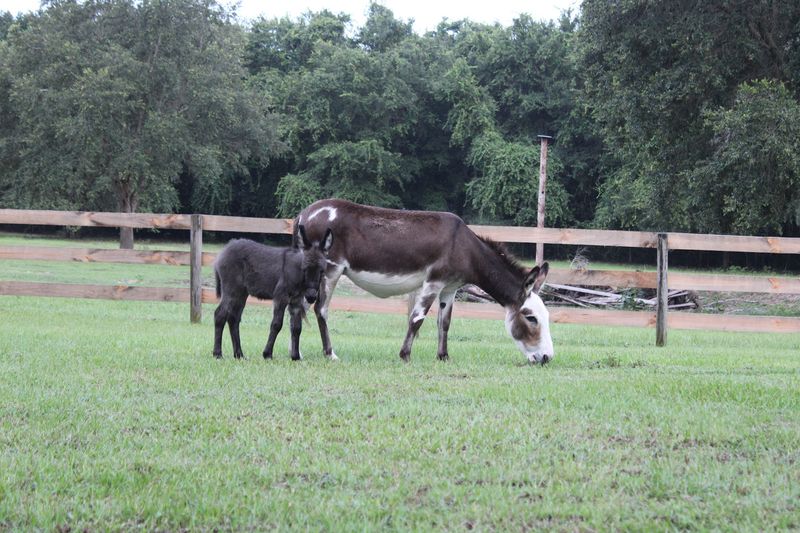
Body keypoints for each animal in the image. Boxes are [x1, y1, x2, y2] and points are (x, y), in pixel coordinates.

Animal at [212, 226, 333, 360]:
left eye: (322, 271)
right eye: (305, 269)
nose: (312, 296)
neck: (297, 273)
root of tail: (225, 249)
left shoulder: (296, 300)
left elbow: (296, 327)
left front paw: (295, 357)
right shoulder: (281, 297)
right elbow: (276, 324)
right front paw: (267, 354)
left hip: (241, 293)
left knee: (233, 318)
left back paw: (239, 355)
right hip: (231, 290)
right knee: (220, 314)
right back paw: (217, 354)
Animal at [294, 199, 553, 364]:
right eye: (531, 318)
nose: (547, 358)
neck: (465, 247)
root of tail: (305, 212)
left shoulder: (449, 288)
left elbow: (444, 323)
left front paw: (443, 357)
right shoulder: (433, 282)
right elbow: (417, 319)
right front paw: (405, 355)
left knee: (298, 307)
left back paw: (296, 354)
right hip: (331, 270)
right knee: (320, 309)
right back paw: (329, 354)